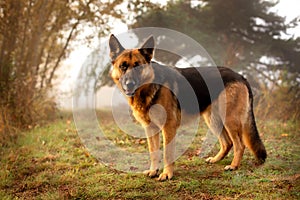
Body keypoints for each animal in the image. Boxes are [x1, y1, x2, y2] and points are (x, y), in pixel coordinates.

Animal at [108, 34, 268, 181]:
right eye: (123, 66)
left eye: (138, 66)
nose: (129, 84)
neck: (149, 86)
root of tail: (240, 76)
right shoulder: (150, 128)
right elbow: (153, 152)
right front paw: (154, 171)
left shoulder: (168, 127)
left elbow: (167, 154)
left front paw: (167, 174)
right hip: (213, 120)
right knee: (227, 143)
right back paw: (216, 159)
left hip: (229, 119)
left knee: (239, 144)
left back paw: (234, 166)